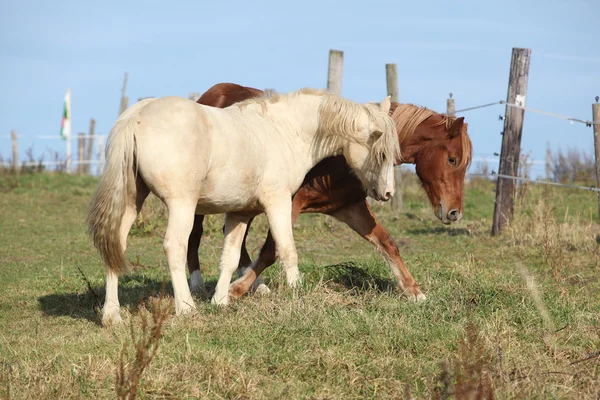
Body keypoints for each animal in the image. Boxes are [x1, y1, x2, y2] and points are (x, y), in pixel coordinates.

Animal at [86, 88, 400, 324]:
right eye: (381, 153)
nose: (387, 193)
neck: (284, 130)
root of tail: (138, 114)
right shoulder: (278, 202)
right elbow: (287, 249)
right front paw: (297, 293)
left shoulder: (239, 213)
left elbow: (231, 257)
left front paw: (221, 300)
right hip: (182, 205)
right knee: (175, 246)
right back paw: (186, 307)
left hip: (131, 201)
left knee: (115, 245)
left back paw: (112, 315)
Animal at [185, 83, 472, 300]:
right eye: (453, 160)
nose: (454, 213)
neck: (337, 155)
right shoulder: (290, 203)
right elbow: (272, 250)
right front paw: (236, 289)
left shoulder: (350, 208)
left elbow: (387, 243)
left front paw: (413, 290)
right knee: (195, 235)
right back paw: (198, 283)